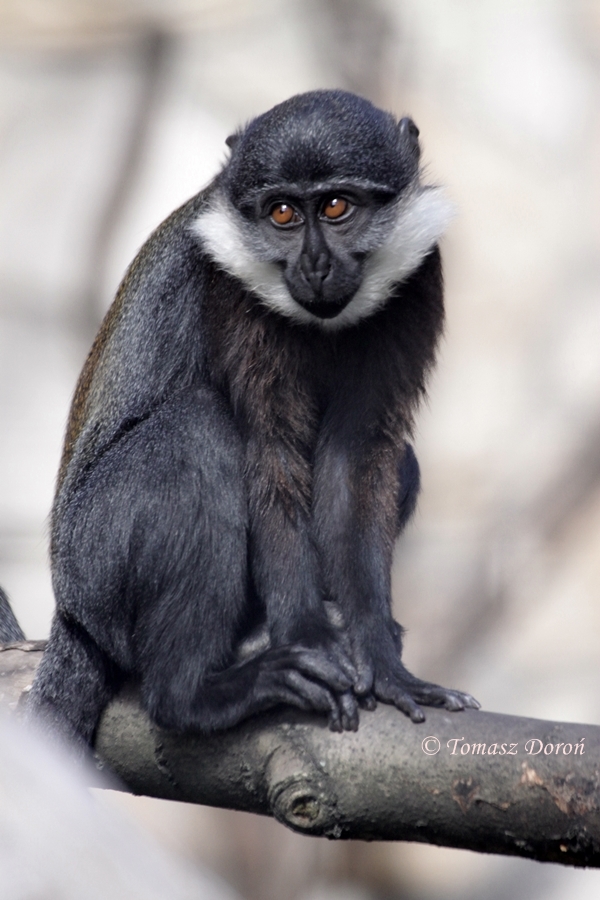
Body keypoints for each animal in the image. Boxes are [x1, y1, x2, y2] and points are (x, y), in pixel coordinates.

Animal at [28, 90, 479, 752]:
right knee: (196, 429)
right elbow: (270, 449)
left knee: (405, 461)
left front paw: (383, 660)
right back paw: (197, 693)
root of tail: (70, 612)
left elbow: (361, 454)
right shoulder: (232, 294)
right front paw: (310, 640)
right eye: (282, 213)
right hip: (96, 565)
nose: (314, 264)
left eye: (336, 206)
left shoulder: (418, 279)